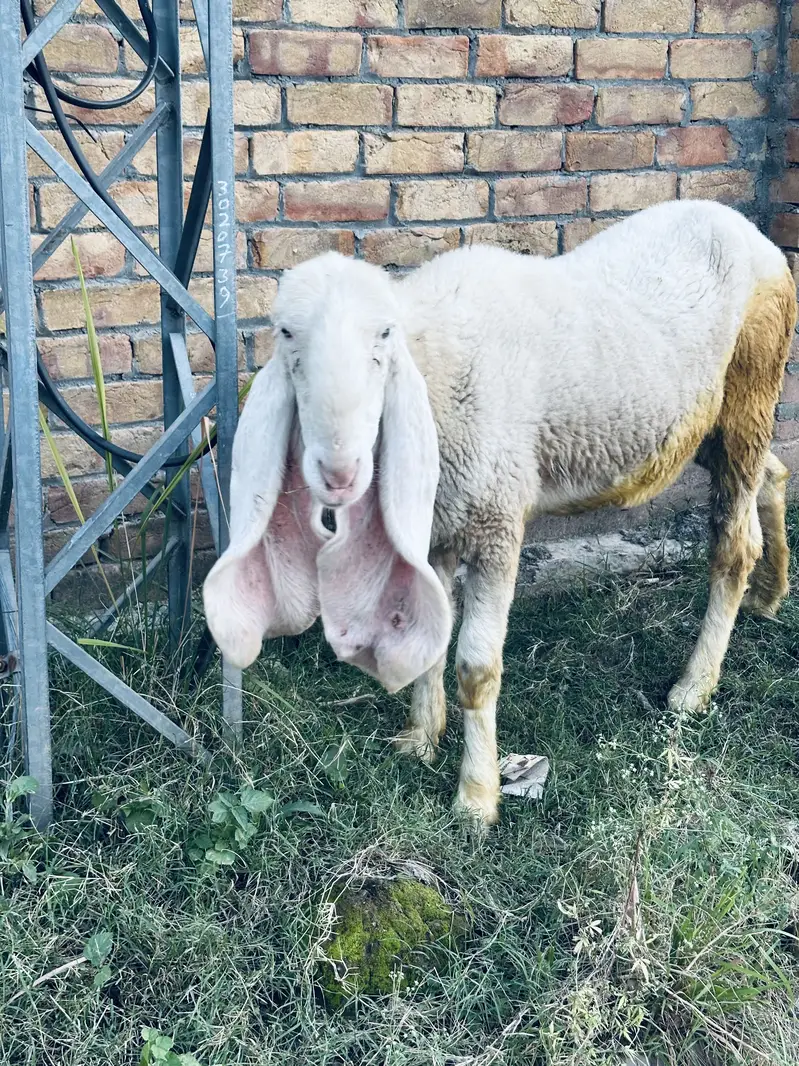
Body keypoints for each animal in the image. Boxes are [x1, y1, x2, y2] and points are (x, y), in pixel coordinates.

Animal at [203, 198, 796, 827]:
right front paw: (422, 738)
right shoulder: (437, 526)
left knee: (733, 545)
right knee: (773, 478)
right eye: (286, 332)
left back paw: (694, 685)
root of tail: (741, 224)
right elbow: (430, 638)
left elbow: (475, 667)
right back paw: (768, 594)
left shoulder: (496, 522)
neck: (435, 365)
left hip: (752, 383)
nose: (339, 470)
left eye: (385, 334)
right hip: (705, 424)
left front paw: (476, 796)